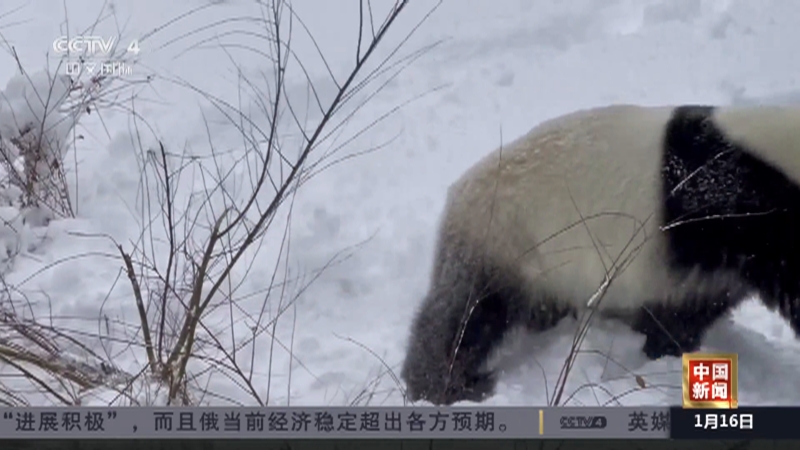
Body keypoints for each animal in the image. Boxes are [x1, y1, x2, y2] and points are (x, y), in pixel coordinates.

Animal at [404, 103, 800, 406]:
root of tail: (457, 192)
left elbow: (688, 309)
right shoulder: (725, 210)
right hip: (509, 238)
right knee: (467, 314)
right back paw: (448, 384)